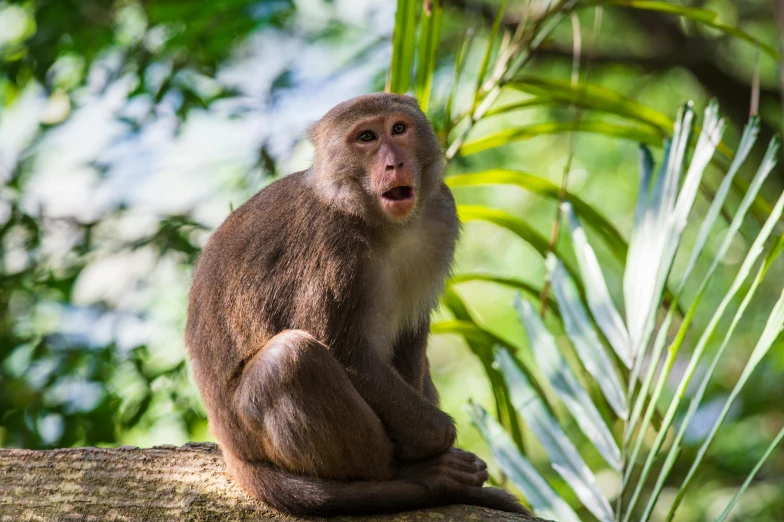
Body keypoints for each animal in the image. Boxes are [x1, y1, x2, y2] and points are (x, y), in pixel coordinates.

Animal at [184, 93, 528, 516]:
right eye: (366, 137)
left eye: (399, 129)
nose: (394, 163)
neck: (381, 223)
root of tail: (229, 446)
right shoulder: (332, 247)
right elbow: (344, 352)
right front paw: (436, 443)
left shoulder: (440, 213)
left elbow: (411, 334)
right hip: (251, 434)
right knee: (290, 359)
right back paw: (410, 474)